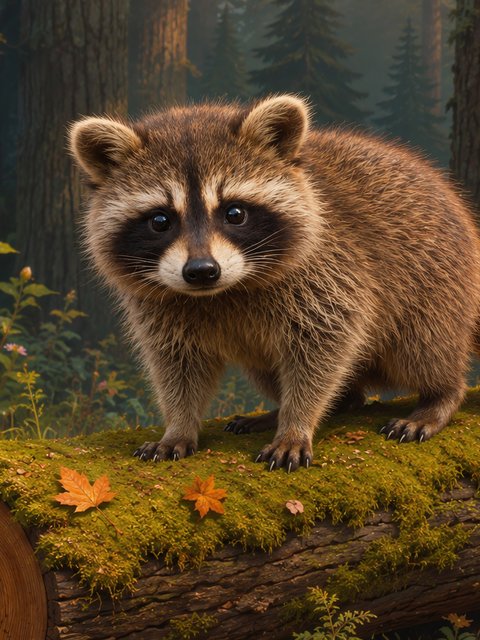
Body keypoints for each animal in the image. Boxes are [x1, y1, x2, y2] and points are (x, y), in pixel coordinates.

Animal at [69, 95, 480, 472]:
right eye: (160, 221)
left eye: (234, 213)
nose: (202, 270)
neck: (224, 291)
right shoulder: (160, 307)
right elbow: (177, 363)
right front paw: (179, 425)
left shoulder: (331, 272)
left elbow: (323, 349)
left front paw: (297, 423)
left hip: (437, 287)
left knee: (423, 350)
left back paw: (440, 397)